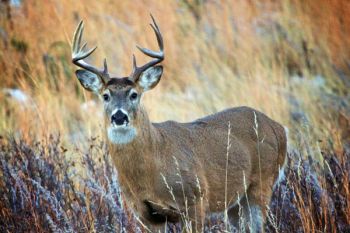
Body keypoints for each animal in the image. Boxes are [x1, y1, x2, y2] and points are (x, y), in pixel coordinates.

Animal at [71, 15, 288, 232]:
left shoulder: (196, 198)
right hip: (236, 203)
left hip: (262, 183)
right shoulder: (145, 213)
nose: (118, 116)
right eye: (105, 96)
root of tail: (279, 128)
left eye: (134, 94)